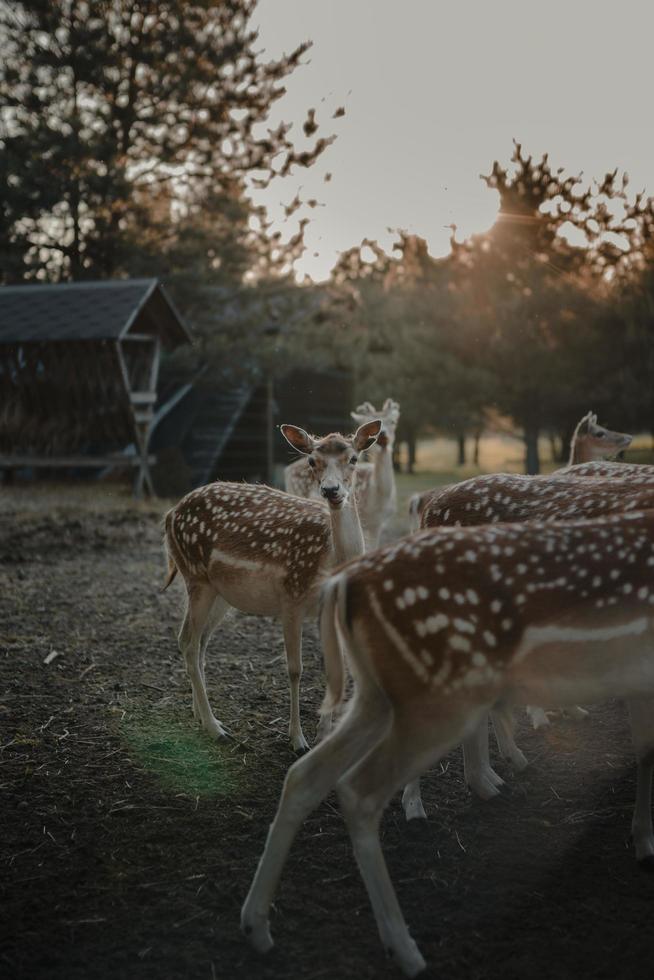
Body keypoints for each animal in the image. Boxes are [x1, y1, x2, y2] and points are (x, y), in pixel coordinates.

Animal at [161, 416, 382, 752]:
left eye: (354, 458)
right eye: (312, 460)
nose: (331, 490)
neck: (330, 560)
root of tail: (170, 514)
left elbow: (333, 669)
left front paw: (323, 735)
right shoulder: (291, 597)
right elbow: (294, 670)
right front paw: (298, 739)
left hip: (220, 592)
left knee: (198, 643)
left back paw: (201, 717)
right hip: (196, 576)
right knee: (187, 641)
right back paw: (215, 727)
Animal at [242, 510, 654, 976]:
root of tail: (342, 583)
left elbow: (644, 749)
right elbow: (646, 749)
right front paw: (644, 843)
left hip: (376, 695)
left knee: (304, 775)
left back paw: (257, 927)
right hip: (440, 696)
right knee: (358, 789)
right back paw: (406, 950)